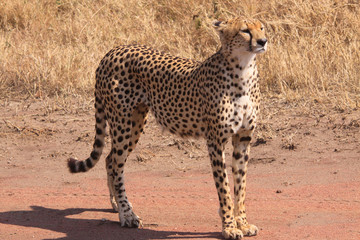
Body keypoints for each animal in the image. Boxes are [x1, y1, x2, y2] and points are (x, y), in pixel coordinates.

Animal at [67, 17, 268, 239]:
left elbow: (241, 186)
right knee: (116, 165)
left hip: (135, 123)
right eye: (245, 31)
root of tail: (114, 50)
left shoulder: (243, 138)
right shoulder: (215, 141)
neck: (243, 70)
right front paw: (229, 227)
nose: (263, 41)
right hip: (122, 123)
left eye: (262, 27)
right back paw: (127, 215)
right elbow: (224, 188)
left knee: (110, 159)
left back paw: (117, 206)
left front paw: (243, 223)